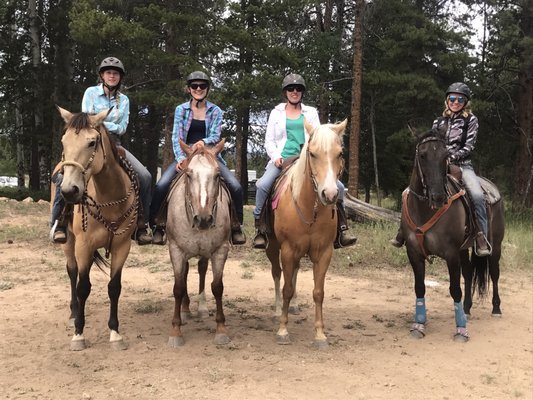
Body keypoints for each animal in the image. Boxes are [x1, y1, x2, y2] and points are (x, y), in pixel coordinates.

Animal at [54, 108, 139, 352]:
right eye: (63, 141)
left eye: (92, 142)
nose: (69, 191)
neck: (108, 198)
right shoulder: (83, 245)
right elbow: (83, 287)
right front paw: (78, 334)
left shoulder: (122, 246)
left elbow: (114, 287)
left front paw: (115, 333)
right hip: (70, 243)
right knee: (72, 272)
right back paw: (74, 313)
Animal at [166, 139, 231, 346]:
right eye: (188, 174)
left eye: (217, 175)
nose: (203, 219)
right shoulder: (176, 250)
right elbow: (178, 287)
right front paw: (175, 331)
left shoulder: (220, 250)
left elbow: (217, 287)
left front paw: (221, 329)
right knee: (186, 273)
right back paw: (185, 310)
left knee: (201, 269)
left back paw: (201, 308)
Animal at [264, 118, 348, 346]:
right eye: (312, 153)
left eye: (340, 153)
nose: (330, 194)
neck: (311, 209)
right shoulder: (287, 250)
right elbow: (286, 288)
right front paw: (282, 330)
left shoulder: (324, 252)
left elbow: (318, 292)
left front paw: (320, 334)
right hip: (273, 247)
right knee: (277, 274)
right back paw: (277, 310)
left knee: (293, 272)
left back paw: (293, 305)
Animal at [402, 126, 504, 342]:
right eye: (422, 155)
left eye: (445, 156)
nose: (438, 196)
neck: (425, 210)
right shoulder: (414, 252)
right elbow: (419, 287)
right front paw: (419, 325)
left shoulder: (450, 254)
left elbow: (455, 289)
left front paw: (461, 330)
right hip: (464, 249)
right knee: (469, 272)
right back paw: (466, 309)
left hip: (495, 246)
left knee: (494, 272)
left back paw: (496, 309)